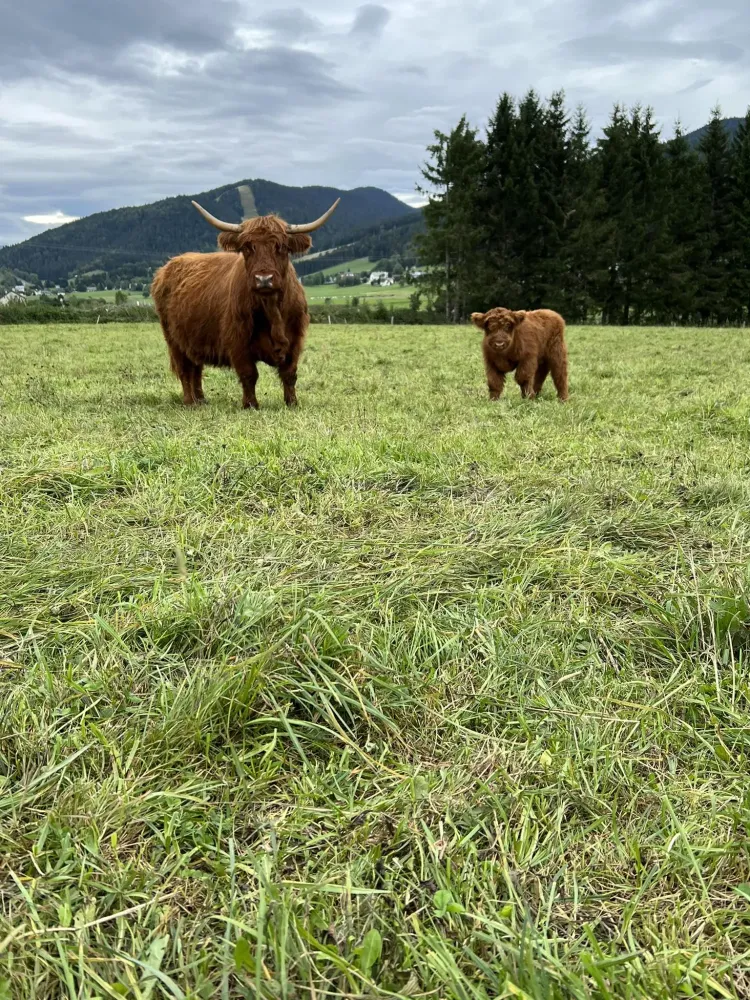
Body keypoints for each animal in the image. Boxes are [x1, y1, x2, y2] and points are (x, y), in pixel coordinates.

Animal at [151, 198, 339, 409]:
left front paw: (292, 403)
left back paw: (201, 400)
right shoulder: (237, 339)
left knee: (196, 369)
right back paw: (190, 401)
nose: (264, 279)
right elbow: (249, 374)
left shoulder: (295, 339)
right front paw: (250, 405)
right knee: (185, 369)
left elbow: (290, 374)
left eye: (281, 247)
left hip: (193, 339)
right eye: (248, 247)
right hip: (173, 339)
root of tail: (168, 266)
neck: (272, 310)